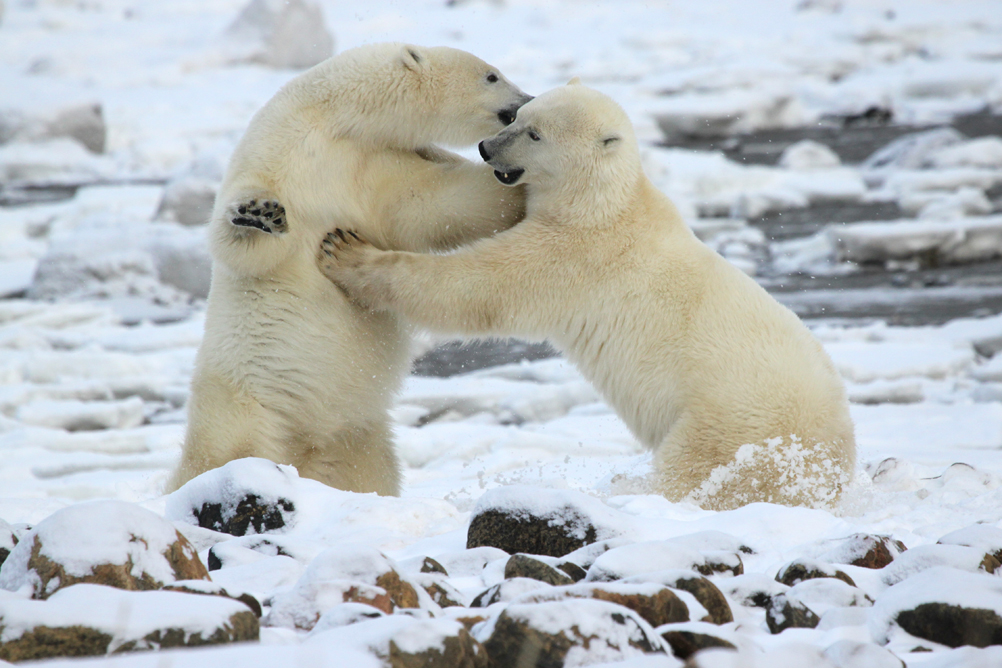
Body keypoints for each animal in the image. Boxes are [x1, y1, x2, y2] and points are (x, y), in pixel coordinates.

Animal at [166, 43, 532, 495]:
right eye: (491, 76)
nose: (526, 101)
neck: (336, 122)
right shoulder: (281, 153)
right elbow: (243, 248)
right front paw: (257, 214)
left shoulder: (372, 165)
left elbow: (429, 202)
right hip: (247, 405)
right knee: (225, 452)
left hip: (357, 434)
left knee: (369, 470)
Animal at [315, 81, 857, 511]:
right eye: (519, 117)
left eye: (536, 134)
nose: (488, 147)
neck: (606, 203)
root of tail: (836, 468)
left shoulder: (575, 255)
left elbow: (476, 287)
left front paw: (346, 255)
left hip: (735, 426)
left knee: (696, 474)